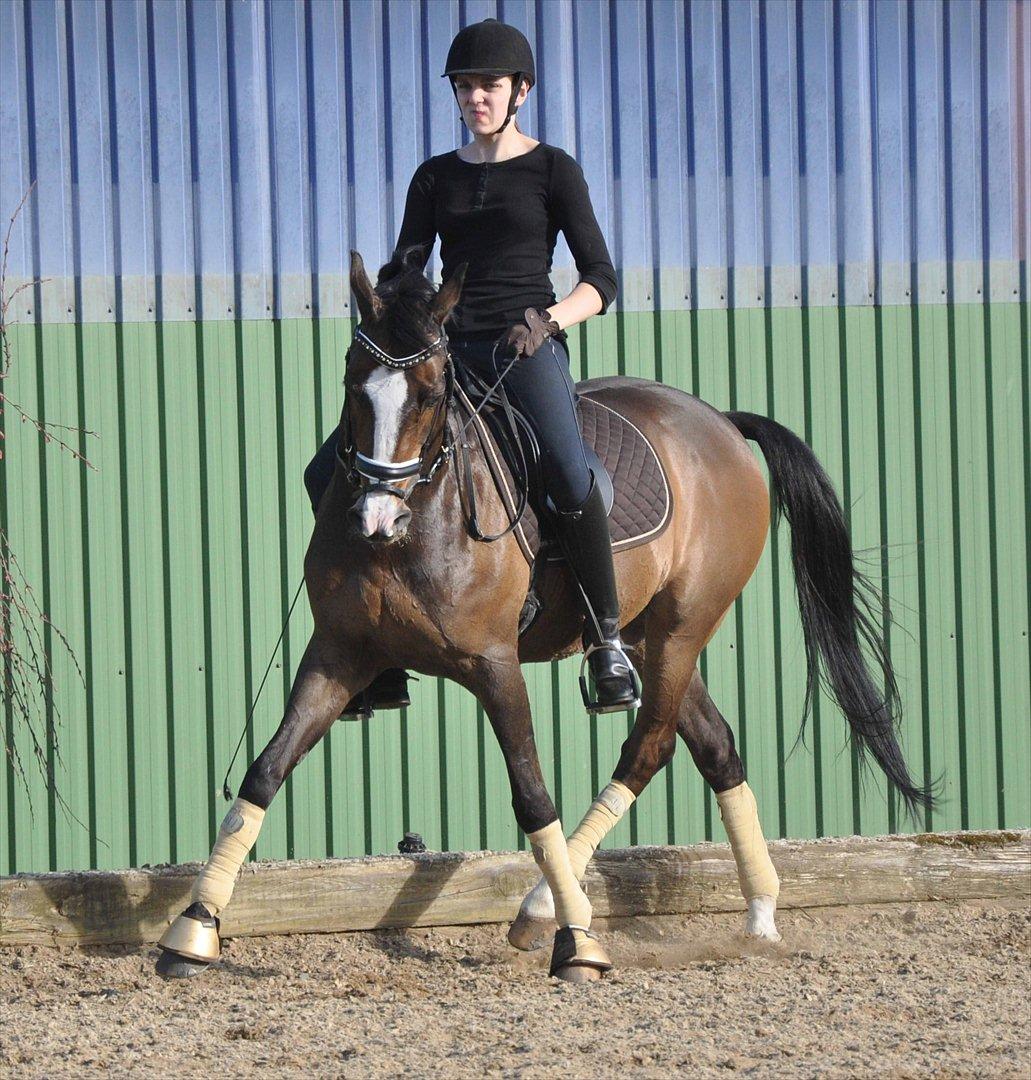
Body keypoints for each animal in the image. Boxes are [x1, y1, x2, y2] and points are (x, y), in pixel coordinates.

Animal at [155, 248, 937, 984]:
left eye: (432, 396)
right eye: (354, 385)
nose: (376, 520)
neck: (423, 515)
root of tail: (719, 422)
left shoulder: (494, 665)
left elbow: (533, 797)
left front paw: (579, 943)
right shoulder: (338, 654)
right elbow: (263, 774)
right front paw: (193, 930)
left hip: (683, 627)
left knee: (647, 746)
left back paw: (542, 911)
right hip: (650, 637)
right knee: (713, 746)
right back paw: (761, 914)